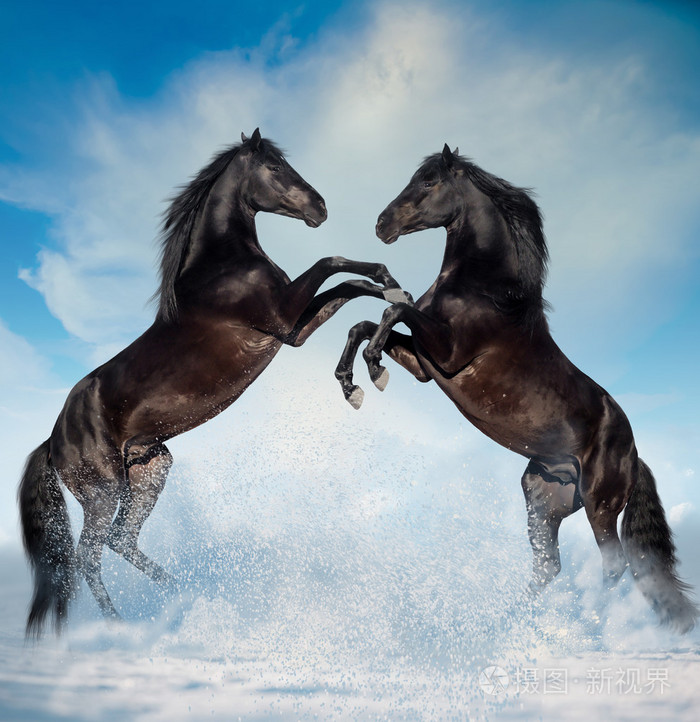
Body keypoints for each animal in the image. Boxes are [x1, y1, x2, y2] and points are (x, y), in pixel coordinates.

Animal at [18, 128, 410, 636]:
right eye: (275, 168)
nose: (320, 208)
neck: (220, 267)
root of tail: (51, 441)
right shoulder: (284, 316)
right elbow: (334, 262)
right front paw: (391, 298)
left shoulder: (292, 330)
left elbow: (348, 287)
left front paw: (368, 360)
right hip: (103, 493)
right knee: (90, 556)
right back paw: (121, 623)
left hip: (150, 470)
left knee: (121, 541)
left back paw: (181, 593)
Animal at [335, 144, 698, 633]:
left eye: (429, 181)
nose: (382, 224)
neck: (486, 292)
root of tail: (635, 454)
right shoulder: (427, 365)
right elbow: (367, 320)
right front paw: (352, 382)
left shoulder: (447, 354)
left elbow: (395, 310)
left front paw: (372, 370)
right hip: (543, 497)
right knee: (548, 566)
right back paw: (511, 623)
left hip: (600, 505)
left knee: (613, 565)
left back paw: (589, 624)